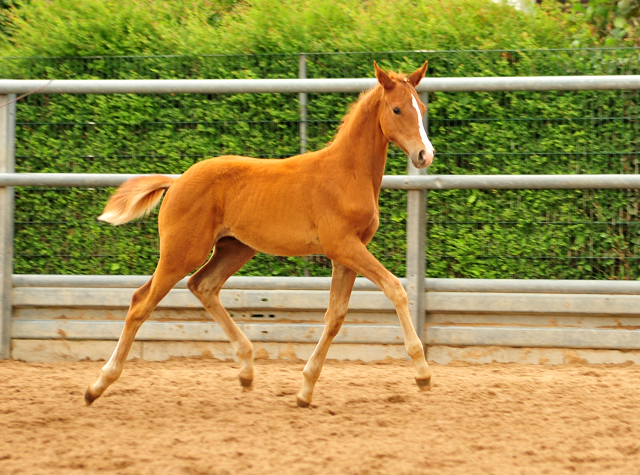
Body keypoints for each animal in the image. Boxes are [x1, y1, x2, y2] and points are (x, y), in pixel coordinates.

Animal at [85, 61, 436, 408]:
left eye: (421, 108)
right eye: (396, 109)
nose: (425, 155)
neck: (346, 172)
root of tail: (176, 180)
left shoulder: (347, 254)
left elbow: (335, 315)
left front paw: (305, 390)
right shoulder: (343, 246)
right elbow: (395, 288)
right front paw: (422, 374)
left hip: (235, 248)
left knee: (203, 285)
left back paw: (246, 369)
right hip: (181, 253)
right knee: (140, 302)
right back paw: (97, 386)